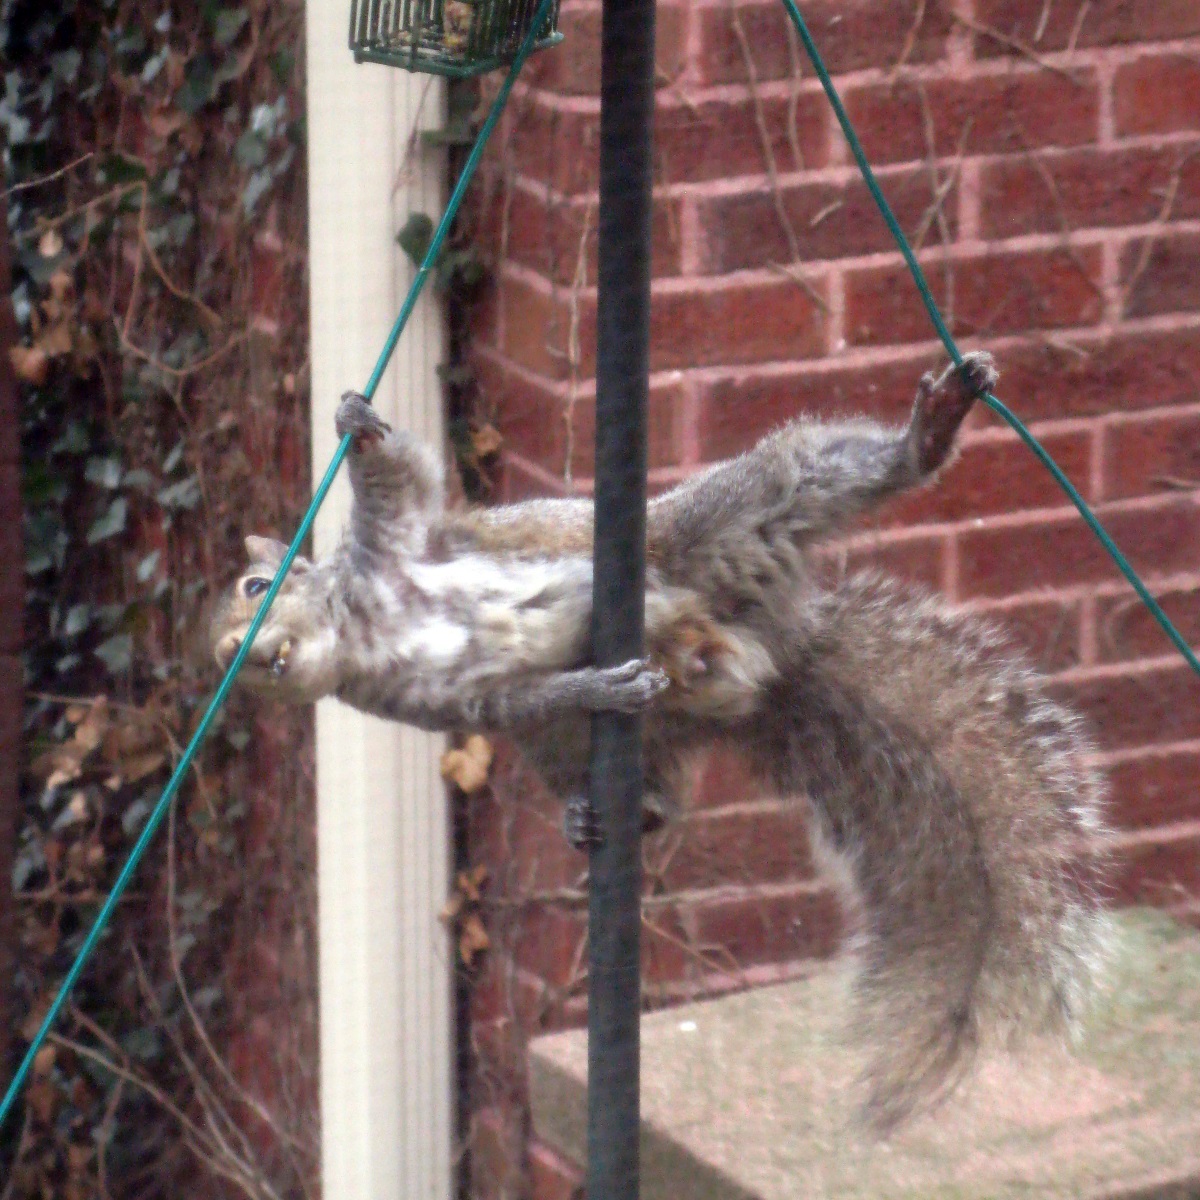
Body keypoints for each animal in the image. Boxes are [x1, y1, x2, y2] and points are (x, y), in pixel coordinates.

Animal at [210, 350, 1110, 1129]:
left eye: (257, 586)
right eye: (220, 655)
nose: (238, 654)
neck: (364, 629)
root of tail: (751, 666)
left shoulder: (397, 548)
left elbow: (401, 486)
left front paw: (357, 426)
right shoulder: (447, 699)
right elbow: (518, 691)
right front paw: (589, 686)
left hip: (709, 535)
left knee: (796, 481)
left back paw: (923, 435)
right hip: (566, 741)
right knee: (647, 782)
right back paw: (610, 810)